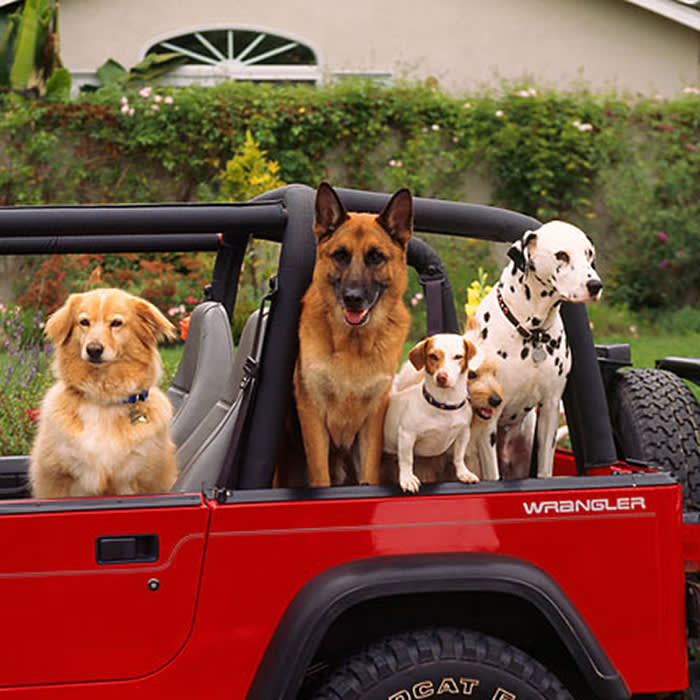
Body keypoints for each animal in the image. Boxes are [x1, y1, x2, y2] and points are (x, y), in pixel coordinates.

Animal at [29, 288, 178, 500]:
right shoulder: (58, 480)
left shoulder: (138, 479)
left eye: (116, 323)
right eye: (84, 322)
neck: (102, 396)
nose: (93, 349)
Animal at [386, 334, 478, 492]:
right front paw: (407, 479)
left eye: (458, 356)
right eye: (433, 356)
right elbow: (406, 459)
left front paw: (463, 473)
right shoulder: (407, 435)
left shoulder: (464, 432)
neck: (444, 405)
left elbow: (459, 456)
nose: (441, 377)